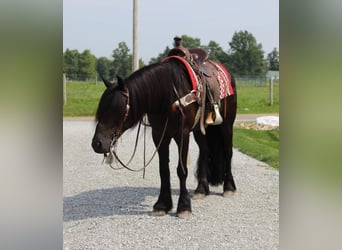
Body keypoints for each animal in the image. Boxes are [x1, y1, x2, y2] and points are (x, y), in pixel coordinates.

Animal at [92, 57, 236, 218]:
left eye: (116, 108)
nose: (97, 143)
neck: (166, 96)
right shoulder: (159, 135)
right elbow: (164, 170)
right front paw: (162, 204)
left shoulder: (182, 135)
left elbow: (182, 170)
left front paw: (183, 206)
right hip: (200, 130)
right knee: (205, 152)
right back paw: (201, 189)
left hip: (226, 124)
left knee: (228, 152)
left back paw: (229, 187)